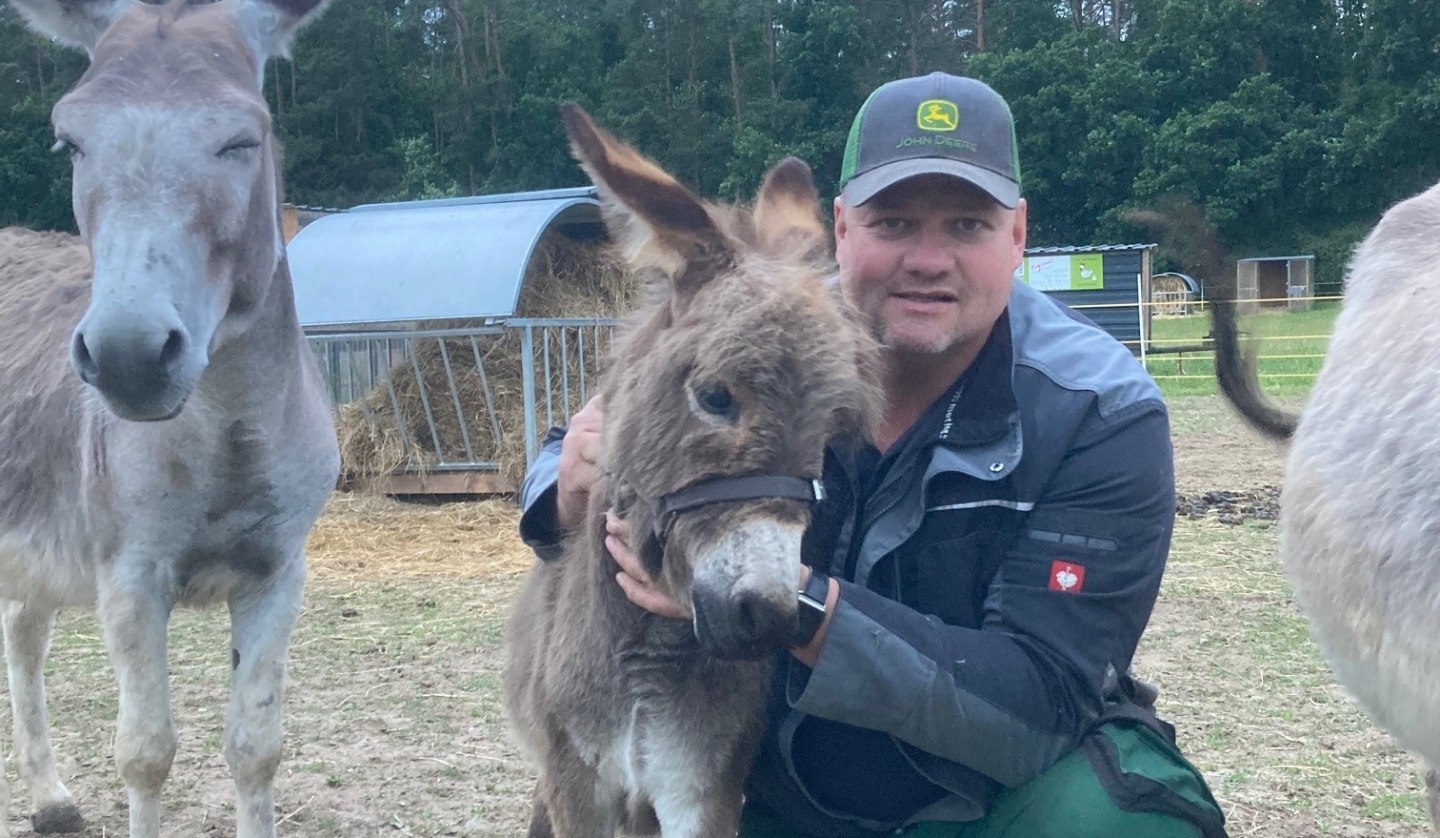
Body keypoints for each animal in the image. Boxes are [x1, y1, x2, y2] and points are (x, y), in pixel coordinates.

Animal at [506, 106, 875, 838]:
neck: (646, 655)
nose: (766, 618)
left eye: (832, 434)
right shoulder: (576, 781)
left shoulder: (701, 786)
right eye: (714, 396)